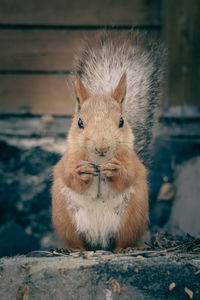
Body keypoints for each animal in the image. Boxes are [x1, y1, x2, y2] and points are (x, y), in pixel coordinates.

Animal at [51, 31, 164, 251]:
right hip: (65, 219)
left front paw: (115, 169)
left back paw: (125, 248)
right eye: (79, 122)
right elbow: (68, 174)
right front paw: (81, 170)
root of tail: (99, 240)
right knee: (77, 242)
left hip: (132, 216)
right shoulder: (68, 158)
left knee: (122, 240)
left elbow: (129, 174)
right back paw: (75, 249)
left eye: (121, 121)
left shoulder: (132, 160)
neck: (99, 160)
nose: (101, 147)